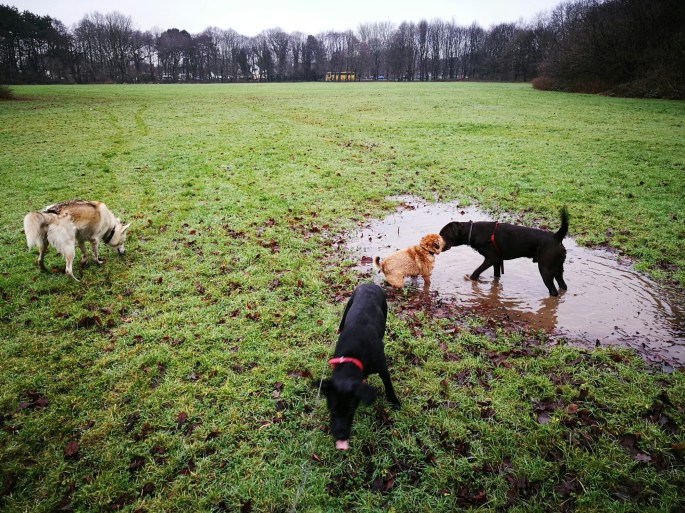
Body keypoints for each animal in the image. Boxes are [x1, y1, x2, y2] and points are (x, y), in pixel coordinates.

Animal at [321, 283, 400, 450]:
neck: (352, 358)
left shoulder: (382, 368)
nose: (340, 436)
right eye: (332, 409)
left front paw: (394, 401)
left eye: (351, 410)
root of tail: (370, 283)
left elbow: (389, 386)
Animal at [439, 207, 569, 296]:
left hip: (545, 270)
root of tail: (556, 237)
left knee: (553, 291)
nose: (436, 244)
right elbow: (496, 276)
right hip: (557, 269)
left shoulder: (491, 258)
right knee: (563, 285)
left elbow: (476, 271)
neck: (472, 231)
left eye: (444, 235)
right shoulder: (497, 261)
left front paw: (472, 279)